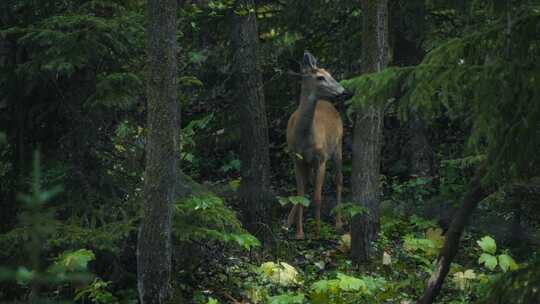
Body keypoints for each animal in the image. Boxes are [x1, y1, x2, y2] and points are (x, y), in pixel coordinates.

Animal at [284, 51, 348, 239]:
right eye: (320, 77)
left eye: (330, 73)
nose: (343, 91)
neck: (304, 138)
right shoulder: (296, 158)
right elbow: (300, 194)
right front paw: (299, 232)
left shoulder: (321, 159)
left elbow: (318, 198)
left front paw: (318, 232)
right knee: (307, 184)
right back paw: (288, 223)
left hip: (337, 147)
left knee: (339, 180)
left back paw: (338, 223)